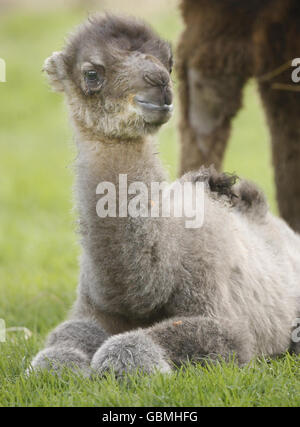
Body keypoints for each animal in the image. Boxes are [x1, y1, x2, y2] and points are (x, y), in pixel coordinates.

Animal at [31, 15, 300, 376]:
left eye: (169, 62)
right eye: (91, 73)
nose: (159, 84)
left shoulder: (225, 321)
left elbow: (157, 340)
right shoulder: (91, 307)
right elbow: (61, 340)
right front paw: (58, 366)